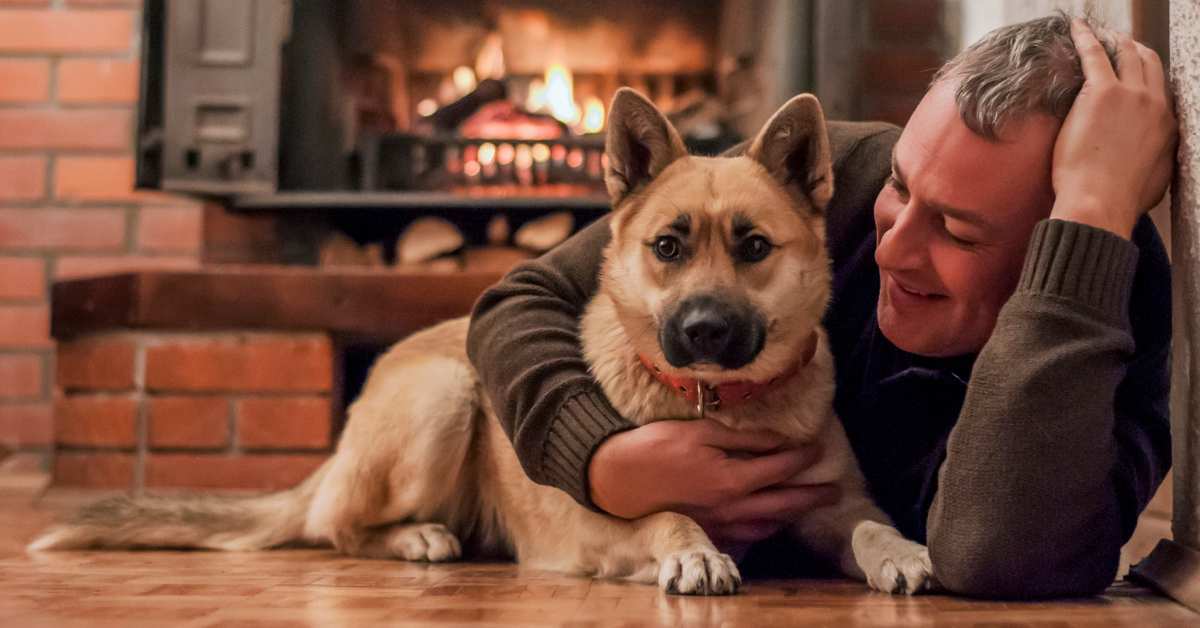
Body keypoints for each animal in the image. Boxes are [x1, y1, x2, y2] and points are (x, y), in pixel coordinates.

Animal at [25, 88, 926, 595]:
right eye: (668, 246)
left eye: (754, 246)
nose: (702, 329)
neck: (716, 406)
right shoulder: (604, 521)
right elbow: (669, 513)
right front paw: (695, 552)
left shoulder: (836, 506)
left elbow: (870, 527)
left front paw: (901, 552)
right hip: (447, 396)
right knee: (339, 530)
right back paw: (418, 537)